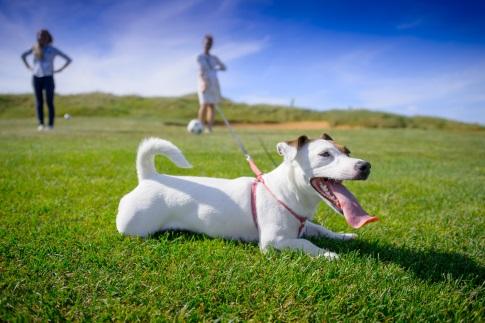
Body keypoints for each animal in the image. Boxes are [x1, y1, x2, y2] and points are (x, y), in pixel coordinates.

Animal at [116, 134, 378, 260]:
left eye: (347, 151)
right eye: (325, 154)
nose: (366, 166)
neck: (286, 191)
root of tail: (149, 177)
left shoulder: (304, 226)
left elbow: (321, 230)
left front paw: (343, 236)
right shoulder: (274, 241)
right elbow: (306, 244)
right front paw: (328, 254)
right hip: (133, 227)